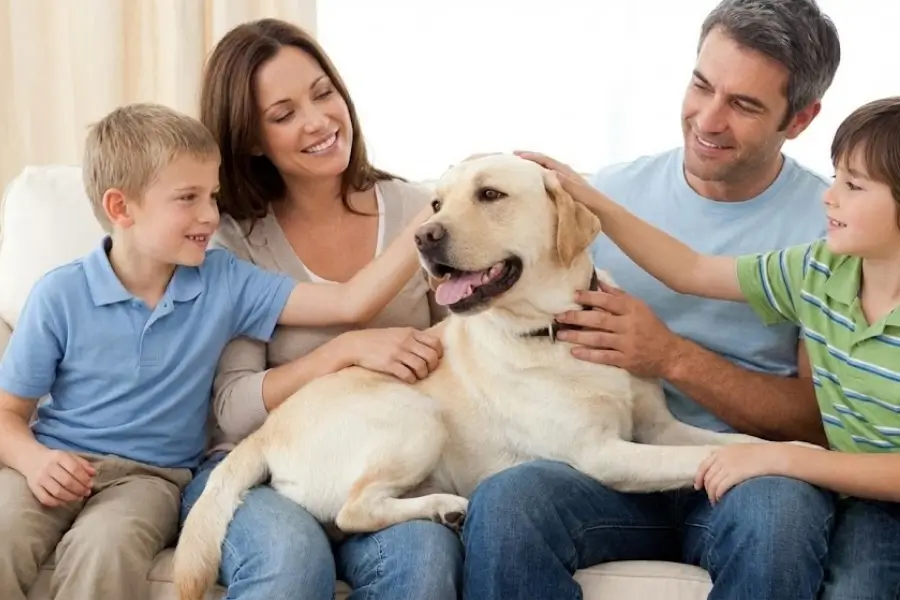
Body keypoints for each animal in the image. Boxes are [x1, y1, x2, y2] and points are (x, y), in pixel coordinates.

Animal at [172, 153, 763, 600]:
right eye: (436, 203)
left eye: (490, 195)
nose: (423, 237)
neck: (555, 328)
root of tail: (263, 433)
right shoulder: (603, 454)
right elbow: (695, 459)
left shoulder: (658, 428)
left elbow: (731, 440)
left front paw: (771, 450)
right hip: (415, 416)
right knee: (352, 510)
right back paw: (445, 509)